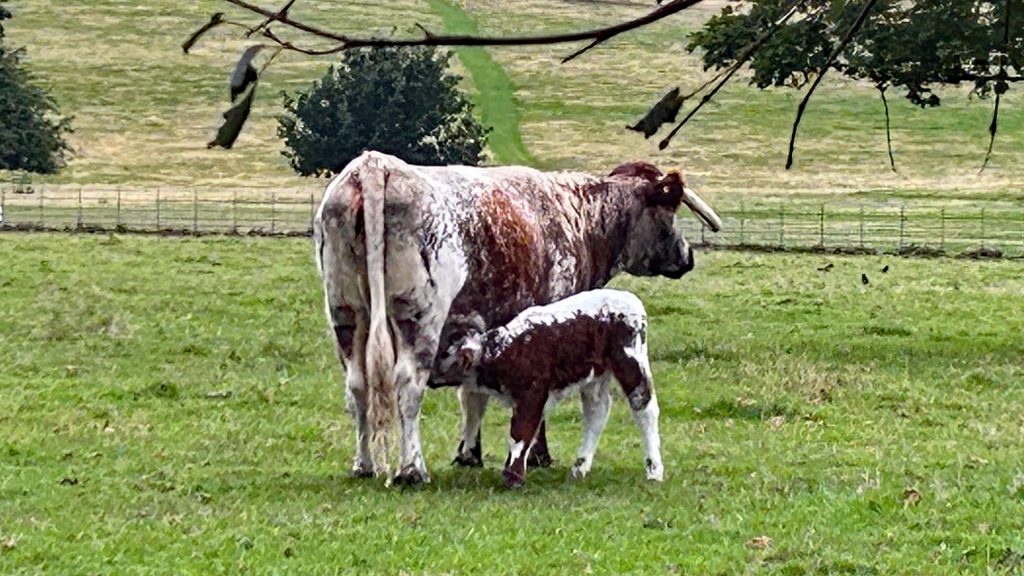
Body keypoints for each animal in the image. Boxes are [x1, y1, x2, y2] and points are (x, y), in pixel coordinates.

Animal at [433, 289, 662, 488]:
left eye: (441, 352)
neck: (502, 351)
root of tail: (628, 298)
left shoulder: (533, 394)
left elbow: (521, 432)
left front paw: (513, 477)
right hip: (595, 374)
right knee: (597, 410)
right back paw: (579, 468)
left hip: (632, 361)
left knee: (644, 407)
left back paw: (654, 471)